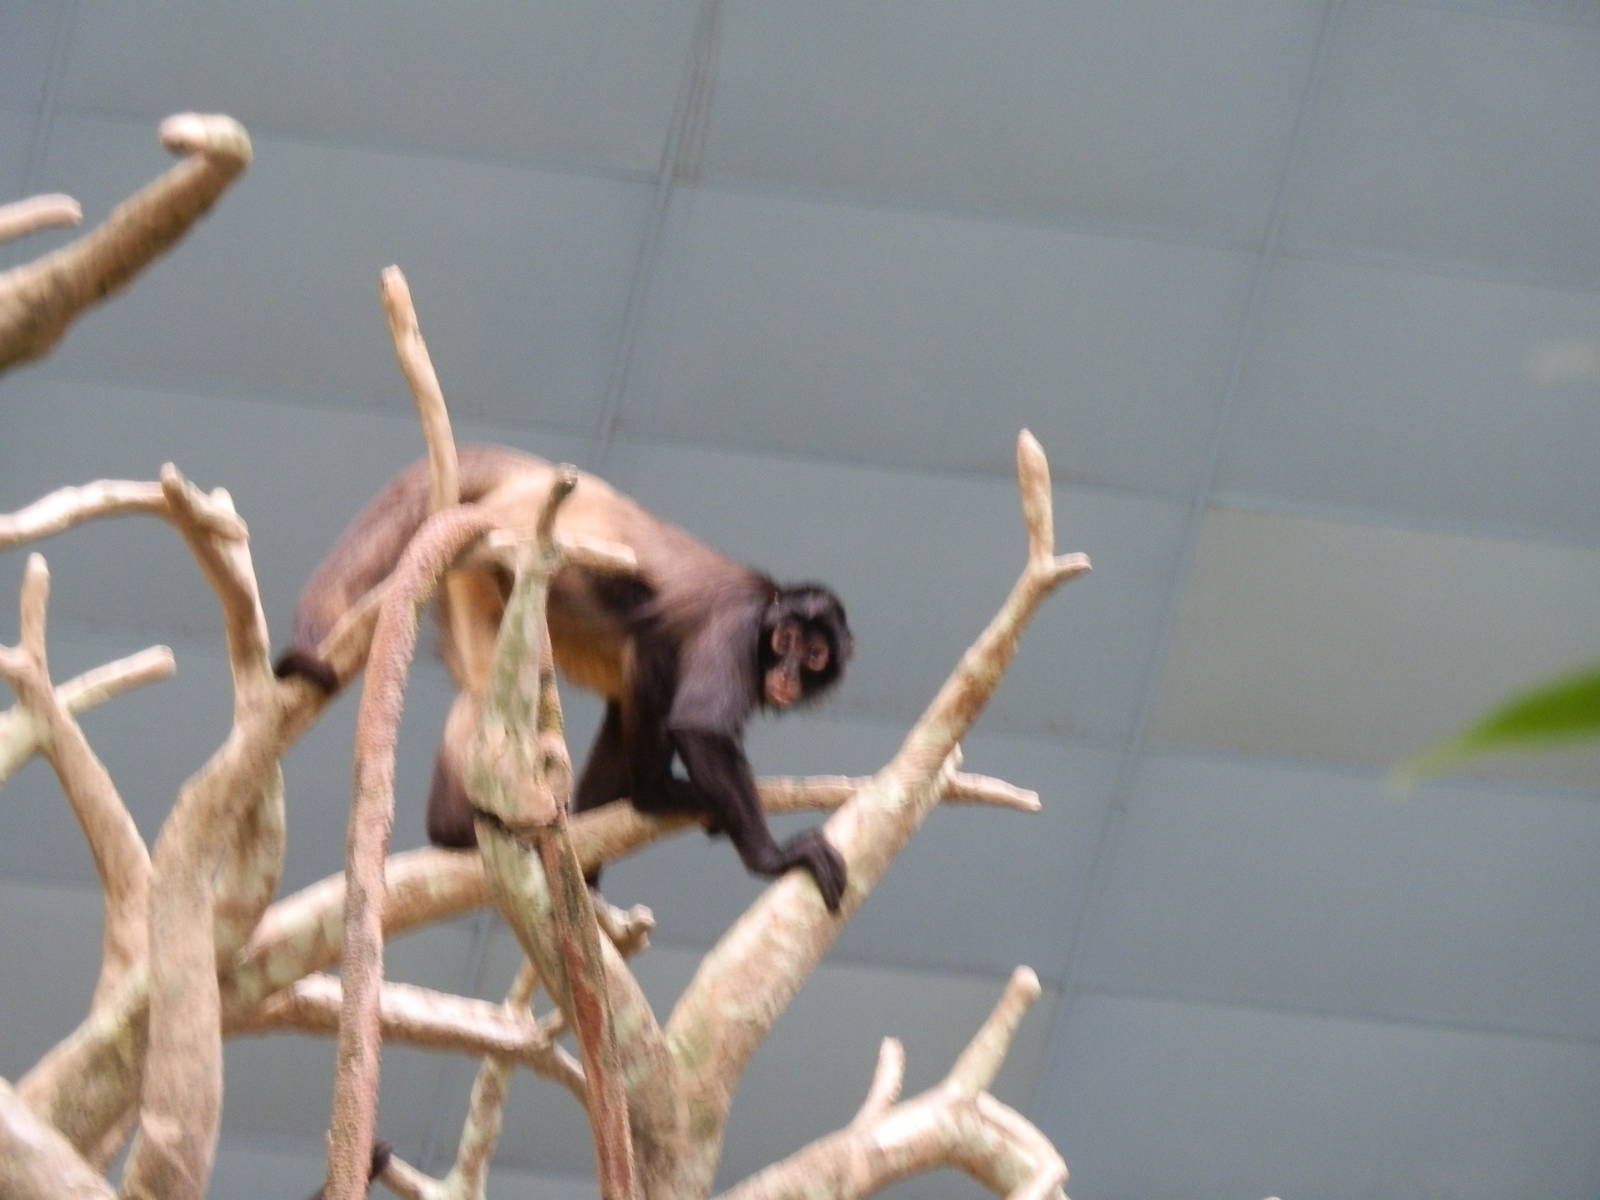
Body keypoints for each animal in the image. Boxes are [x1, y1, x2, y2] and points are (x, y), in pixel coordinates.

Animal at [274, 445, 852, 911]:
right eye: (784, 642)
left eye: (815, 654)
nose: (787, 672)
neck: (767, 612)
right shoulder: (736, 627)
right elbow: (697, 724)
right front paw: (772, 857)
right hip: (529, 551)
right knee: (639, 640)